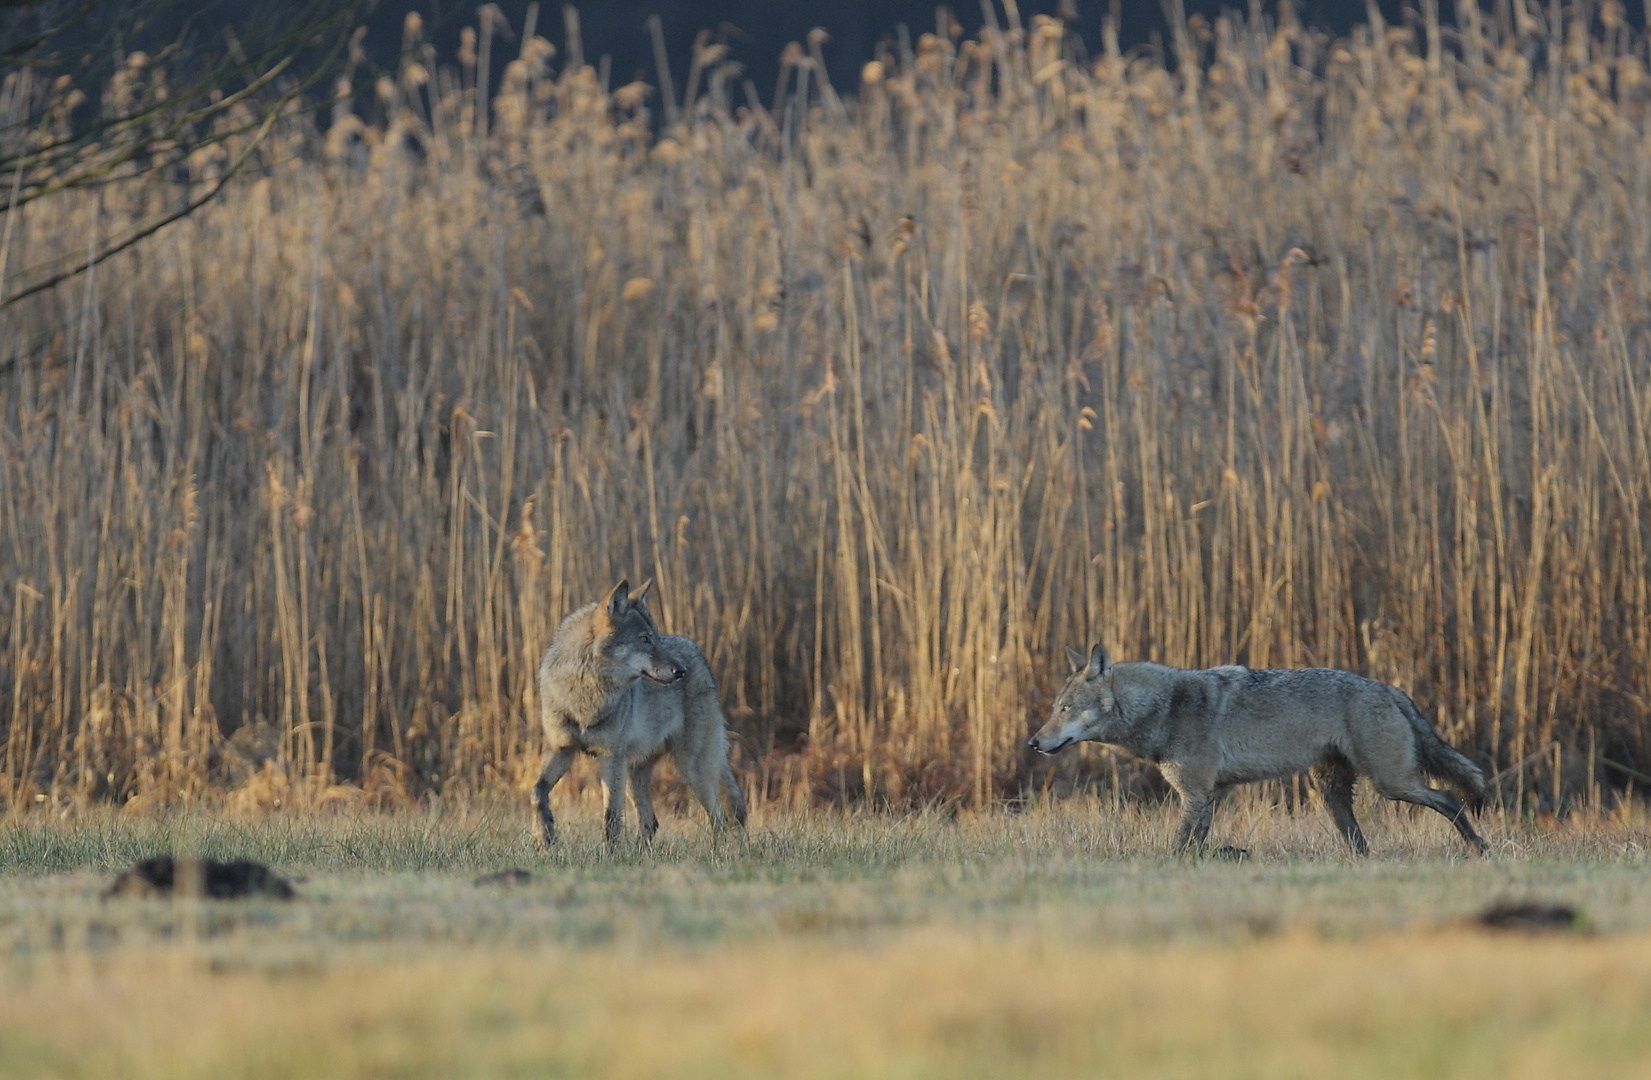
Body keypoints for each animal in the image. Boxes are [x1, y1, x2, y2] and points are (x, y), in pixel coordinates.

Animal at [534, 581, 749, 852]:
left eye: (655, 637)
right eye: (645, 639)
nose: (680, 671)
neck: (584, 691)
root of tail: (695, 650)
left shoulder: (610, 757)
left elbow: (611, 817)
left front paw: (610, 855)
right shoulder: (561, 749)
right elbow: (537, 793)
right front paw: (546, 837)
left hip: (690, 768)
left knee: (719, 817)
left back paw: (716, 853)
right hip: (634, 771)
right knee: (651, 821)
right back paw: (641, 854)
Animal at [1023, 647, 1492, 858]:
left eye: (1064, 709)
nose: (1033, 742)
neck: (1164, 709)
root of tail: (1389, 689)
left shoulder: (1195, 794)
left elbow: (1178, 845)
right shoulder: (1209, 795)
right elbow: (1196, 844)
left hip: (1392, 783)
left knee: (1450, 798)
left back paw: (1480, 848)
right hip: (1334, 794)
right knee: (1361, 842)